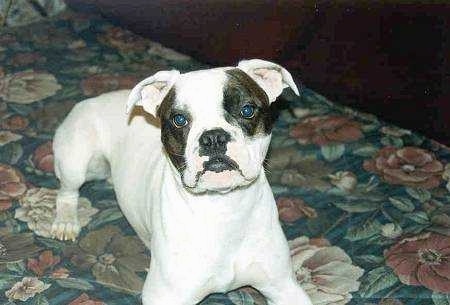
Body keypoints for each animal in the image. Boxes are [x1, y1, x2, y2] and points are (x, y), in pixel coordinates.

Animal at [51, 59, 312, 304]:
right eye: (179, 119)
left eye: (247, 110)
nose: (213, 137)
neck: (223, 208)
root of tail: (95, 98)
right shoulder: (164, 296)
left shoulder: (285, 288)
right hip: (76, 161)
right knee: (66, 193)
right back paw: (66, 222)